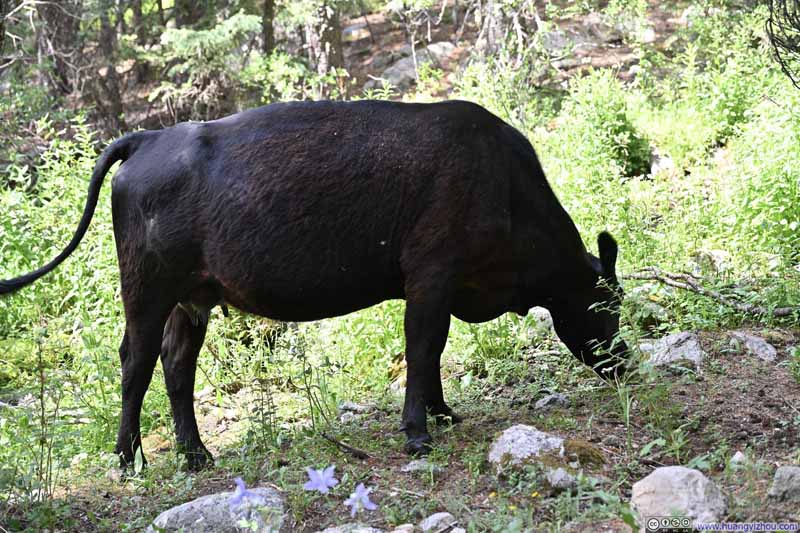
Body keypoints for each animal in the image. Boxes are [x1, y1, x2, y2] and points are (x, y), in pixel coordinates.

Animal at [0, 100, 628, 470]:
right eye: (607, 302)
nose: (623, 363)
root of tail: (147, 138)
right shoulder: (431, 275)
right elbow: (423, 348)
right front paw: (418, 433)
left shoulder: (442, 286)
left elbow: (434, 353)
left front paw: (443, 413)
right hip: (147, 290)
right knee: (135, 361)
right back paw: (129, 458)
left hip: (191, 297)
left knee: (177, 366)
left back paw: (196, 454)